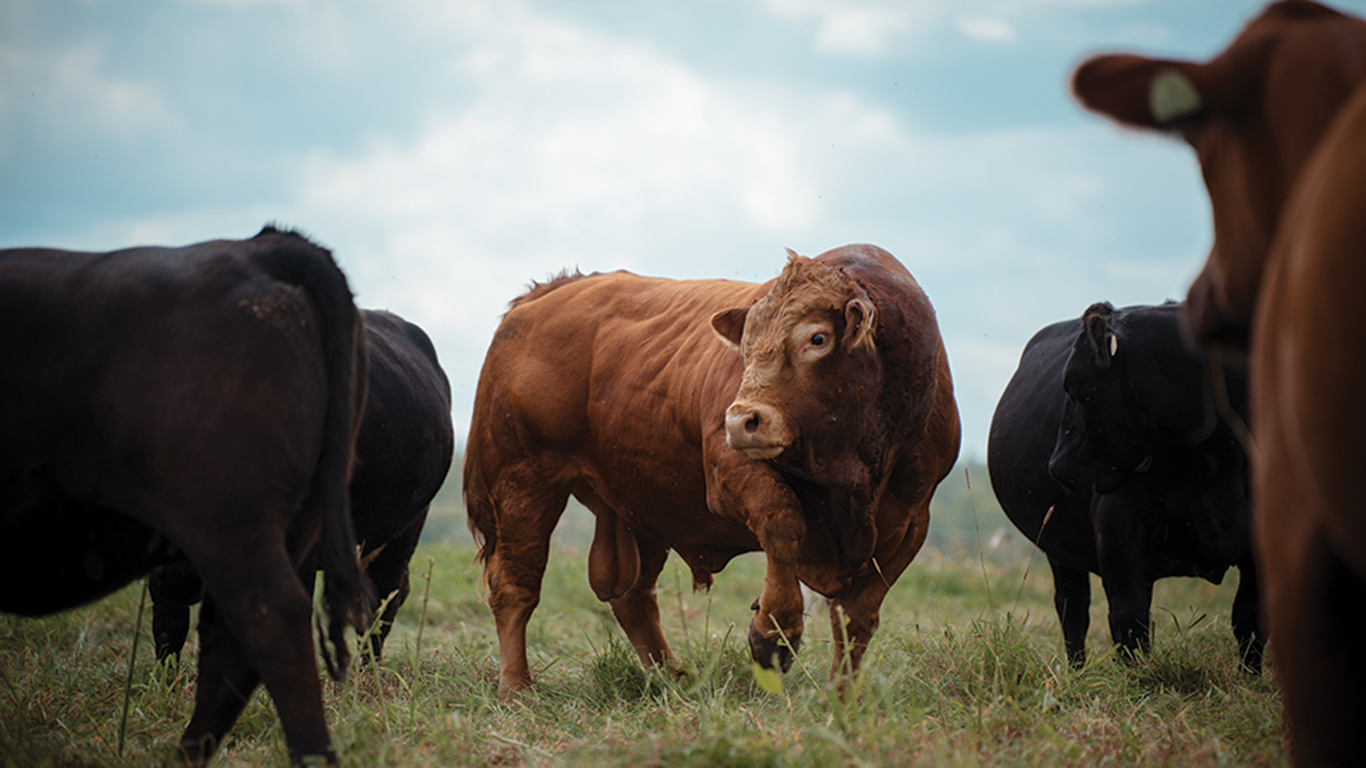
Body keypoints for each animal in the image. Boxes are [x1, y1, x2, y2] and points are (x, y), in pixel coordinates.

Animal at [464, 241, 956, 691]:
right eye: (746, 346)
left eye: (817, 338)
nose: (741, 420)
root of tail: (550, 292)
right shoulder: (729, 470)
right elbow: (783, 520)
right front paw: (772, 634)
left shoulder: (913, 519)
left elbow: (858, 617)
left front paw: (841, 697)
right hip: (523, 481)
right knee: (514, 587)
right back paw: (517, 687)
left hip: (642, 502)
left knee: (633, 597)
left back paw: (673, 681)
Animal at [983, 299, 1256, 669]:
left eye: (1074, 382)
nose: (1056, 465)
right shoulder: (1118, 528)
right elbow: (1128, 620)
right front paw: (1141, 678)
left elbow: (1249, 619)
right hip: (1058, 546)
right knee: (1073, 608)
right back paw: (1077, 673)